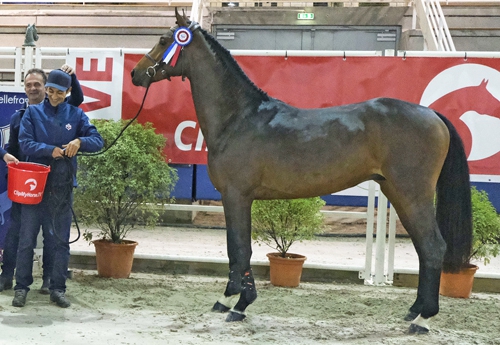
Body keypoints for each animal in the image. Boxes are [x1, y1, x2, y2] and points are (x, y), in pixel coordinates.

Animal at [130, 10, 472, 334]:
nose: (136, 73)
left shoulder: (236, 196)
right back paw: (414, 311)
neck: (239, 119)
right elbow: (236, 248)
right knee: (423, 249)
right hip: (398, 193)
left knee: (433, 247)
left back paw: (424, 319)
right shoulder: (237, 198)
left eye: (164, 40)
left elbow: (239, 247)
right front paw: (230, 300)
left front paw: (238, 304)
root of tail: (432, 114)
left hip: (412, 194)